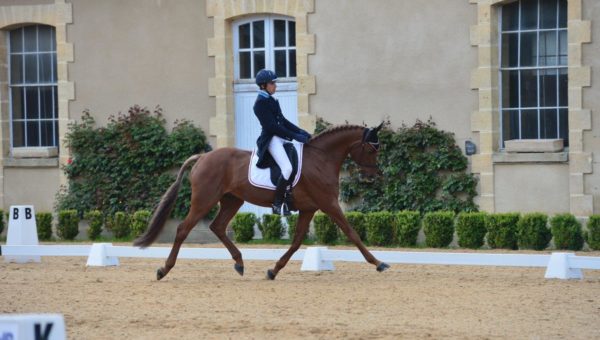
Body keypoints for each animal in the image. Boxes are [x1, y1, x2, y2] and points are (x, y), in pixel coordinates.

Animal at [134, 123, 392, 280]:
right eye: (371, 150)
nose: (373, 176)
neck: (321, 159)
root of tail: (203, 157)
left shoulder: (309, 208)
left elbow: (297, 241)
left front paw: (273, 270)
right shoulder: (329, 204)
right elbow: (351, 232)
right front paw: (378, 262)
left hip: (232, 200)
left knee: (218, 226)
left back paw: (239, 263)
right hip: (205, 200)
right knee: (183, 229)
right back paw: (163, 269)